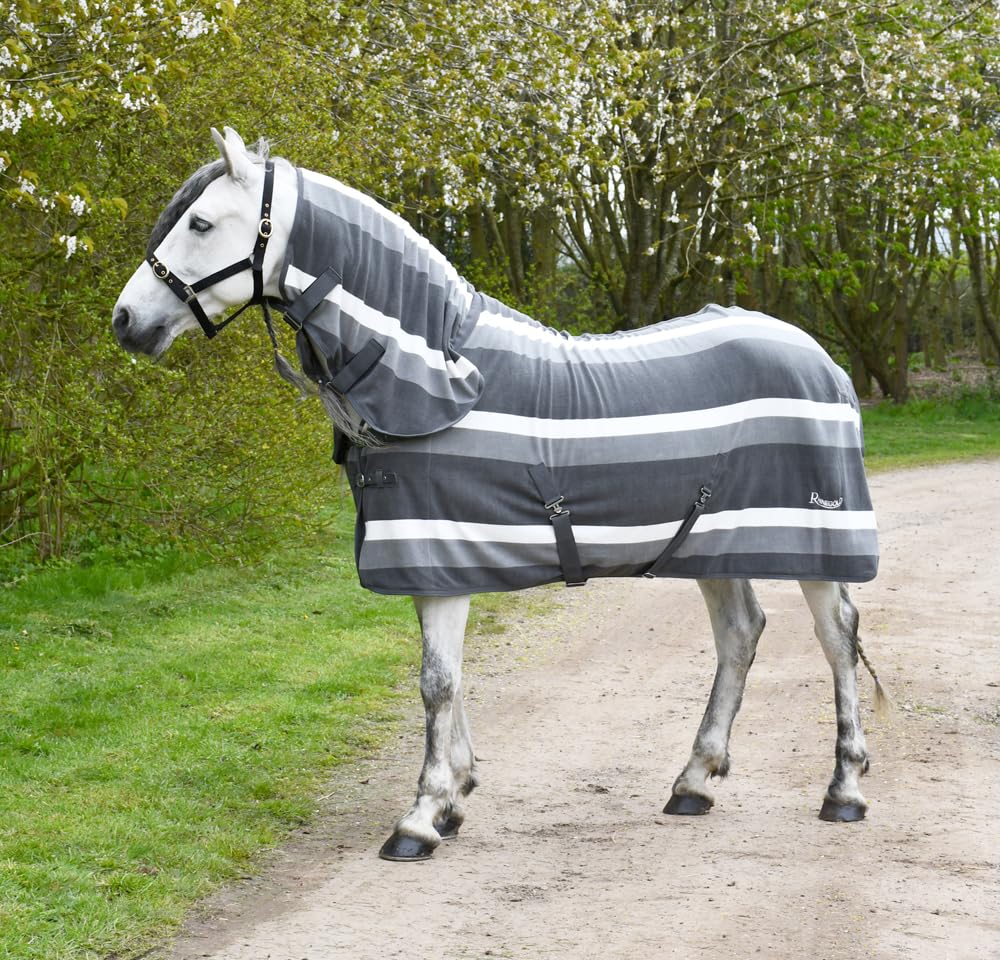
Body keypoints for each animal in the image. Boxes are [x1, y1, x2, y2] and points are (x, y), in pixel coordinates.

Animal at [113, 127, 884, 862]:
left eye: (202, 224)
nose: (125, 321)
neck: (432, 375)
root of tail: (823, 361)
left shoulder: (438, 557)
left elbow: (437, 683)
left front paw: (421, 817)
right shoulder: (431, 560)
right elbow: (447, 677)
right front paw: (454, 798)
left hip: (817, 541)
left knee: (836, 640)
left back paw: (843, 790)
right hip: (710, 543)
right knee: (740, 634)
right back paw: (694, 782)